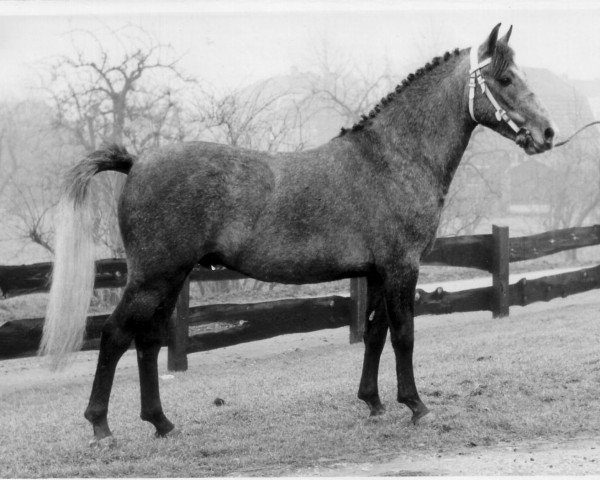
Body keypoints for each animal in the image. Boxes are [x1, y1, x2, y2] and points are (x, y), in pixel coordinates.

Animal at [42, 24, 556, 446]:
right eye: (505, 80)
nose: (548, 133)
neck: (392, 158)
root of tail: (137, 162)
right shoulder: (401, 268)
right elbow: (404, 334)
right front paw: (417, 406)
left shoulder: (376, 273)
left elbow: (374, 333)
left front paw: (373, 402)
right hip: (153, 277)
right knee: (114, 335)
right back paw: (101, 428)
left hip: (170, 278)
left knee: (148, 341)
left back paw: (162, 423)